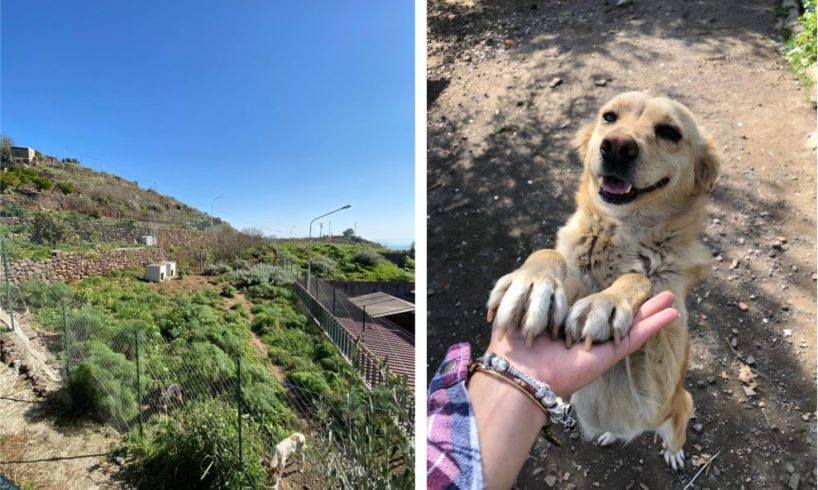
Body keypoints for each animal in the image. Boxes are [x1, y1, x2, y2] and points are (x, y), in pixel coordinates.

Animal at [488, 92, 716, 470]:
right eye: (609, 116)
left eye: (670, 132)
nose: (617, 146)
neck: (622, 233)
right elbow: (548, 253)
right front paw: (531, 285)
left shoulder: (655, 393)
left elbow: (641, 278)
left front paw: (605, 303)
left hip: (673, 408)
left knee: (675, 428)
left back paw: (672, 451)